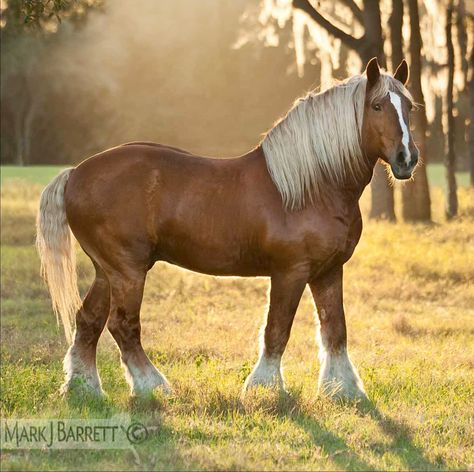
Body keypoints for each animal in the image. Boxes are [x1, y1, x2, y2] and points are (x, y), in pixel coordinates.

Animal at [36, 57, 418, 400]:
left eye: (409, 107)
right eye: (377, 105)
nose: (407, 159)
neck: (315, 186)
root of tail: (75, 173)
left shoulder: (328, 270)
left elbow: (335, 329)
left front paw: (343, 390)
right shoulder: (290, 272)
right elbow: (277, 330)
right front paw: (265, 388)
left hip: (107, 271)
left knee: (88, 320)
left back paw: (83, 388)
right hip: (128, 270)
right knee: (122, 324)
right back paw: (152, 387)